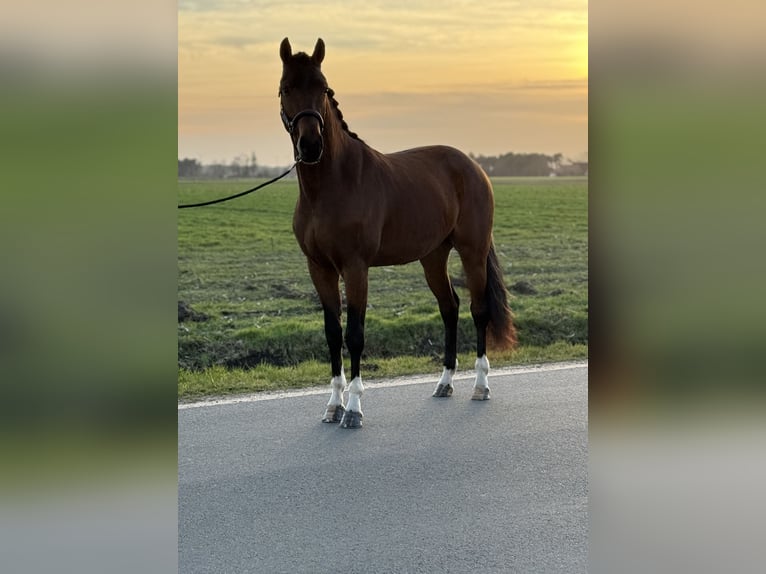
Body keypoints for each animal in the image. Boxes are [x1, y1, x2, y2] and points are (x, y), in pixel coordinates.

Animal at [276, 38, 516, 430]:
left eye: (323, 88)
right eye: (286, 89)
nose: (310, 146)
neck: (331, 185)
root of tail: (473, 166)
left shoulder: (356, 267)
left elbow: (355, 335)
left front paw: (353, 409)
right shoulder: (319, 268)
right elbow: (333, 333)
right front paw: (333, 406)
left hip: (473, 250)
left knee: (478, 310)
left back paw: (481, 385)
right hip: (433, 256)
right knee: (450, 307)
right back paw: (444, 382)